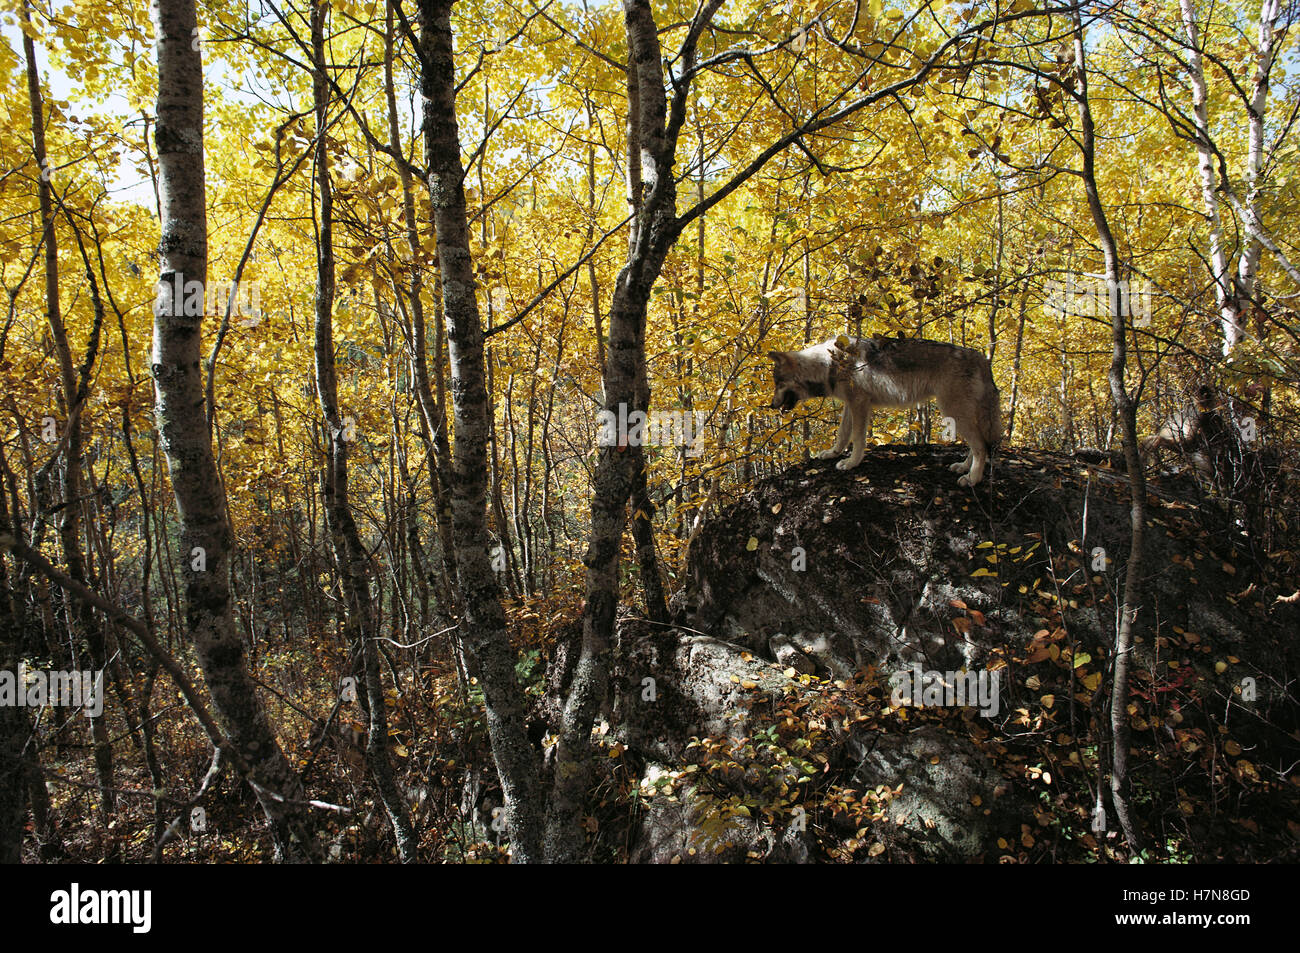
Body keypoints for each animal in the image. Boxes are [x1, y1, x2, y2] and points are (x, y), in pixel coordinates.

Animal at [767, 335, 1003, 486]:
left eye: (778, 384)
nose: (771, 405)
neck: (830, 364)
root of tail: (983, 358)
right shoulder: (850, 405)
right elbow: (842, 435)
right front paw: (832, 454)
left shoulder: (860, 404)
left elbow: (857, 439)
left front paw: (851, 463)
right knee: (979, 445)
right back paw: (963, 467)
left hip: (953, 411)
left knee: (981, 446)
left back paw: (972, 479)